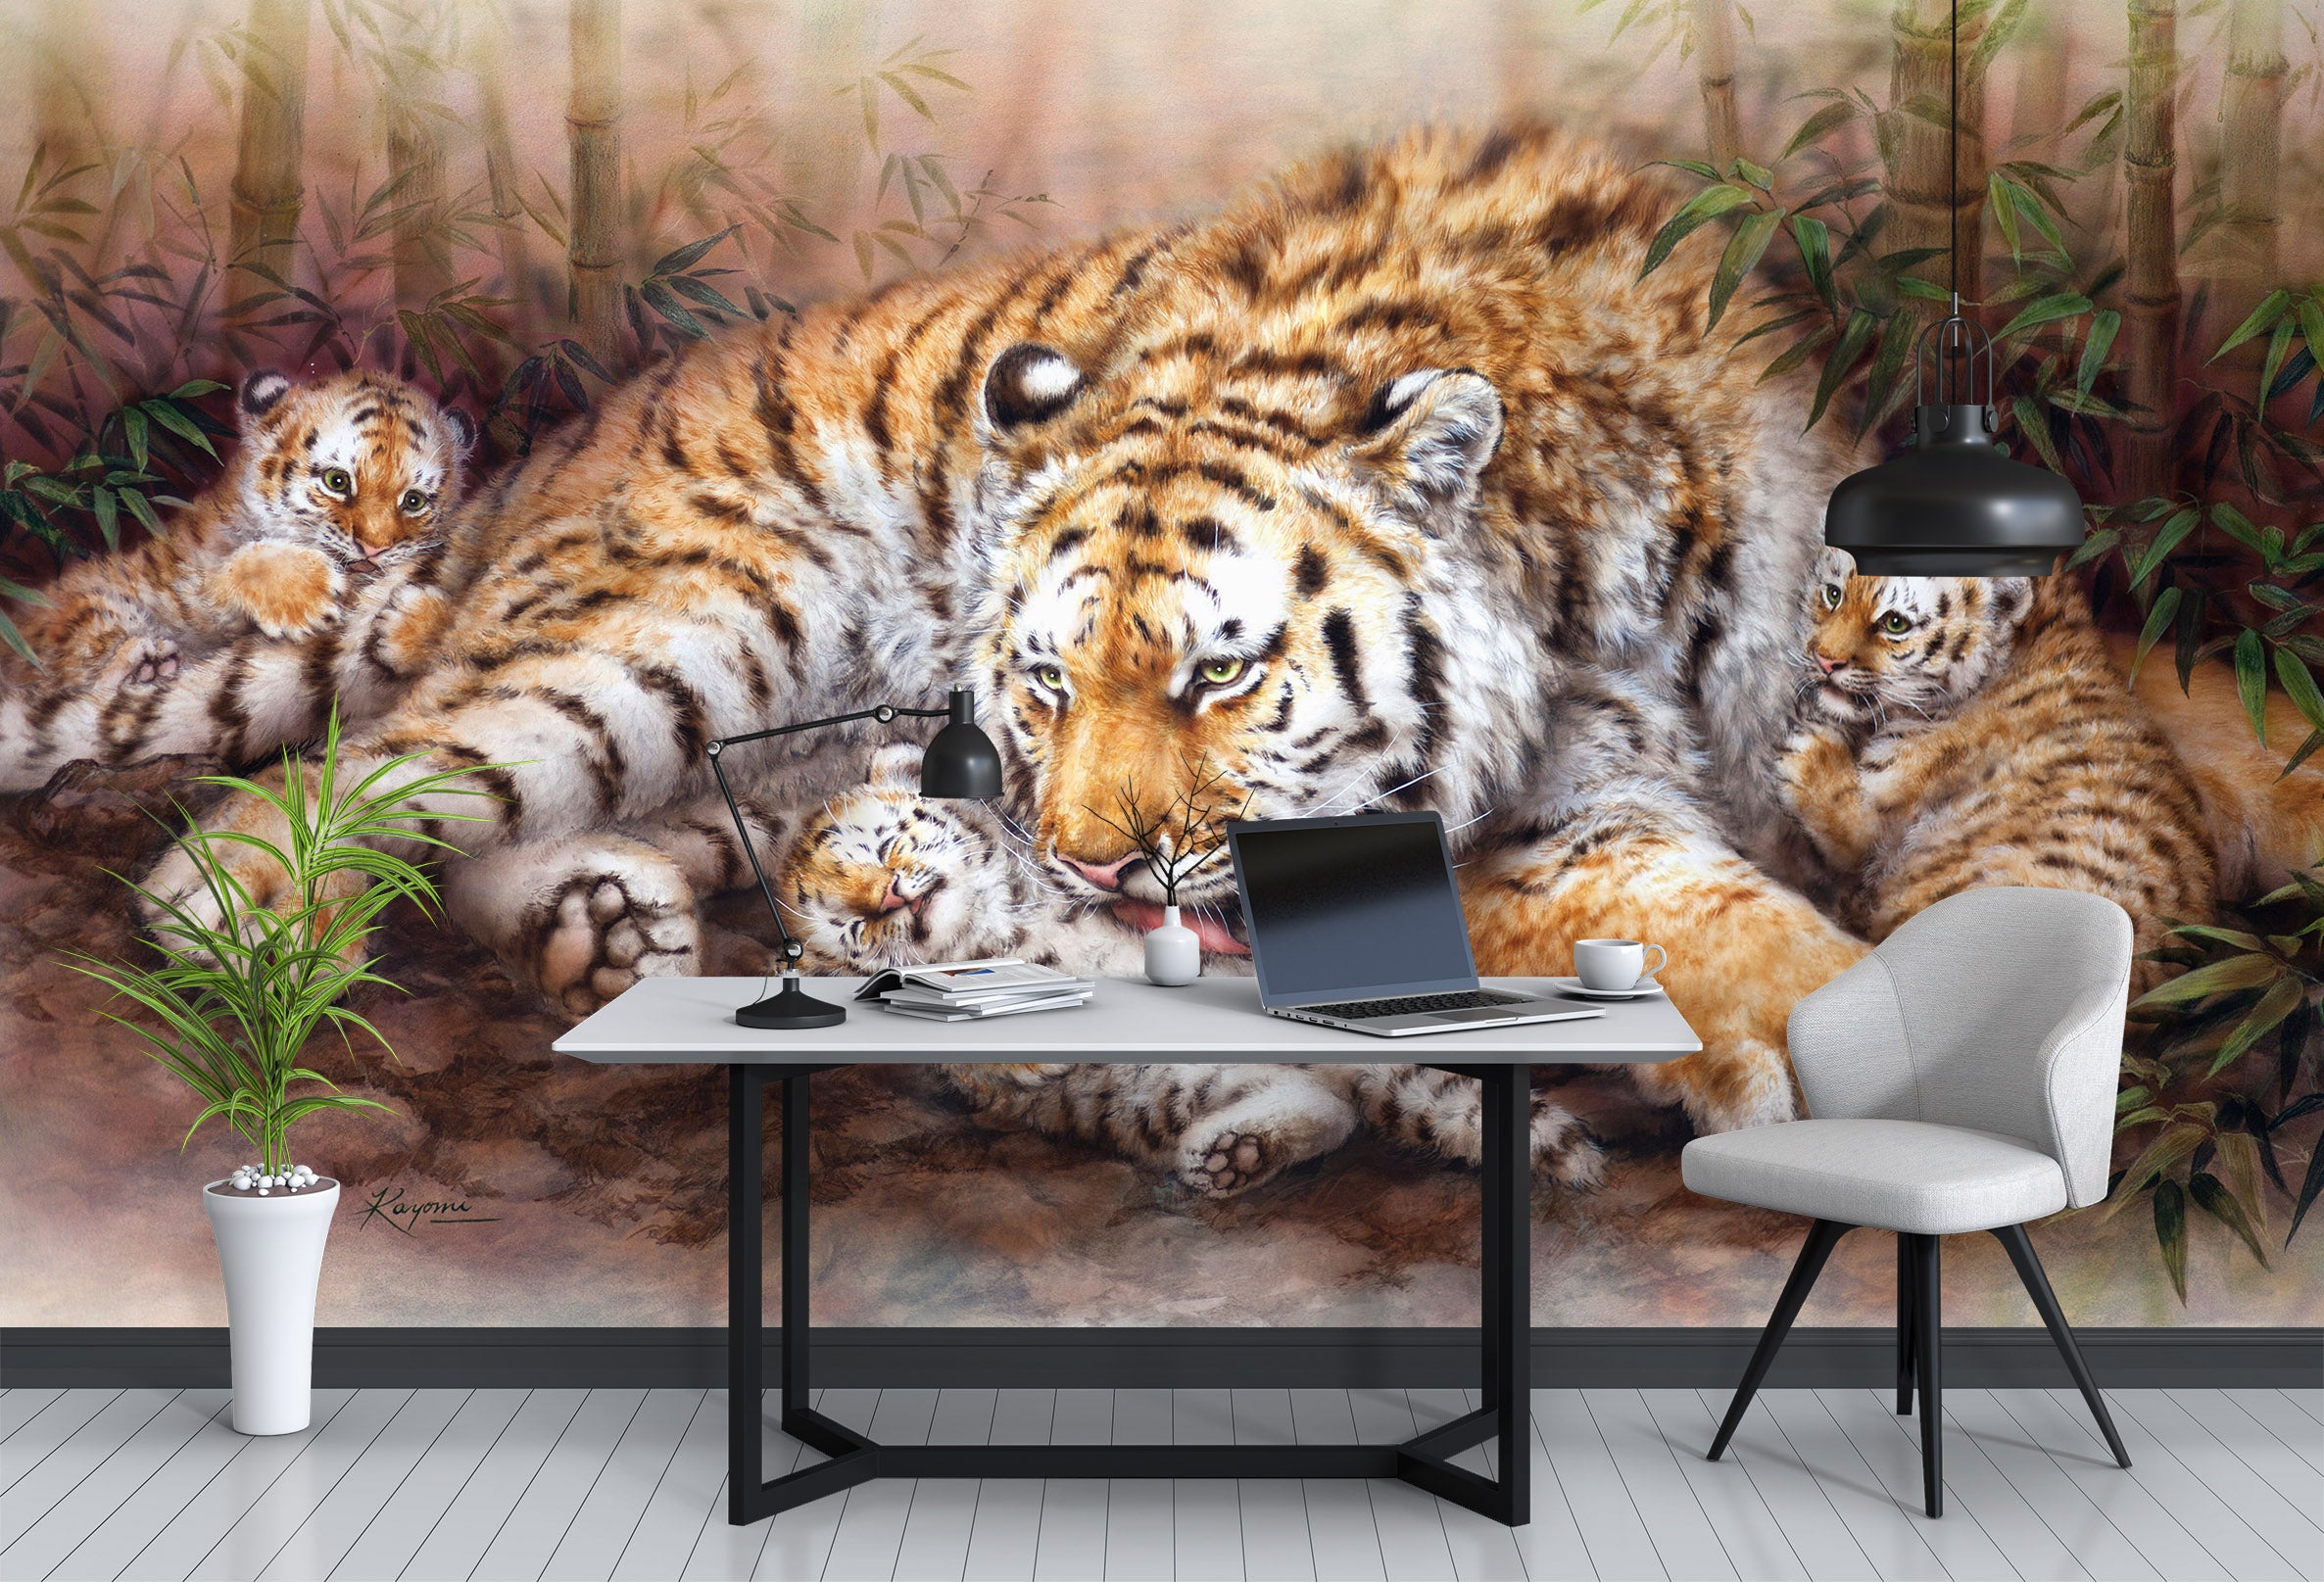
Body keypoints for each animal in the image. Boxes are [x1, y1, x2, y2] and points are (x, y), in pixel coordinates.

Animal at [0, 369, 475, 791]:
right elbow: (226, 573)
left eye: (413, 501)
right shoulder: (181, 586)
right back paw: (146, 662)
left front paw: (416, 620)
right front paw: (309, 595)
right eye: (337, 481)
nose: (374, 548)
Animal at [142, 125, 1868, 1154]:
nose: (1091, 869)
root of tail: (526, 460)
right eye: (1046, 680)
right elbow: (1686, 906)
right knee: (303, 807)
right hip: (699, 628)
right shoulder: (1529, 819)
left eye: (1219, 672)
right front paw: (1816, 1039)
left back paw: (608, 929)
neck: (1596, 552)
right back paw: (262, 958)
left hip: (759, 764)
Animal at [1776, 548, 2216, 980]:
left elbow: (1844, 821)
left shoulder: (1873, 824)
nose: (1823, 660)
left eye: (1895, 623)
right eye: (1833, 594)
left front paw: (1805, 749)